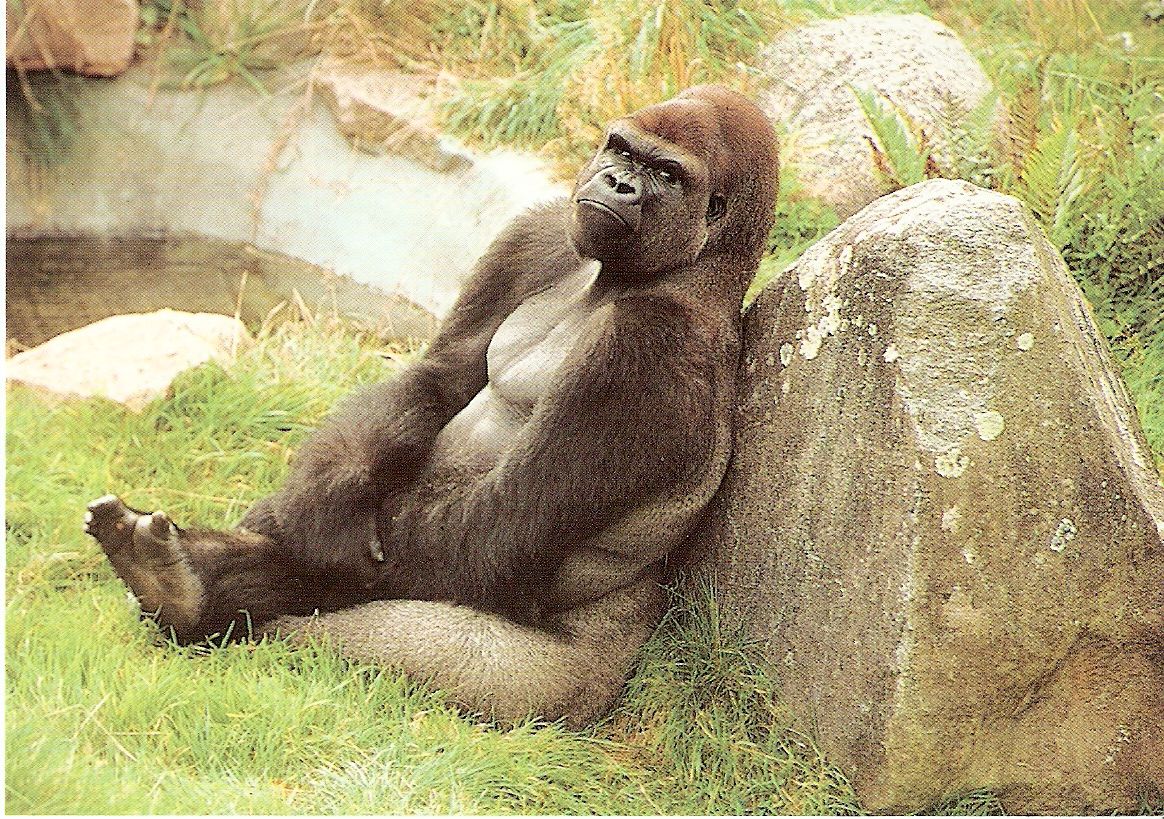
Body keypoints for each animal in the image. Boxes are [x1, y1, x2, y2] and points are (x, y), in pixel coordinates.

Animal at [85, 84, 779, 727]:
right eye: (623, 151)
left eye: (667, 174)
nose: (617, 183)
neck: (663, 275)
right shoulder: (542, 232)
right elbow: (439, 376)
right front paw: (325, 497)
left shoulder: (645, 353)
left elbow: (495, 527)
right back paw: (176, 579)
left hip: (543, 687)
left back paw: (185, 592)